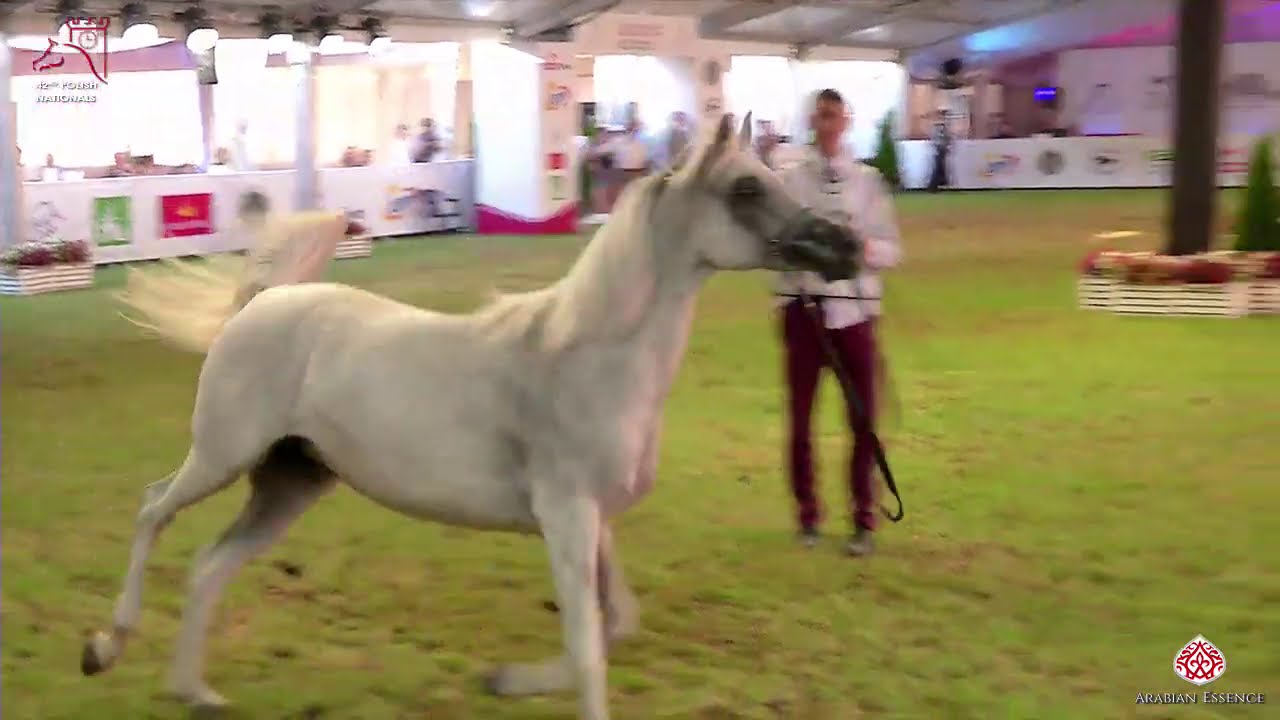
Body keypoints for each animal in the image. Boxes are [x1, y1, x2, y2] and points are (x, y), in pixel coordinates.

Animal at [82, 113, 861, 720]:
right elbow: (589, 650)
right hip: (224, 454)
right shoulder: (567, 518)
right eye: (747, 187)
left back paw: (194, 692)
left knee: (210, 567)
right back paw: (103, 647)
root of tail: (262, 300)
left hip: (290, 481)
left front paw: (509, 681)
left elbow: (616, 626)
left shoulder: (592, 522)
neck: (584, 358)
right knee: (153, 511)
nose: (845, 247)